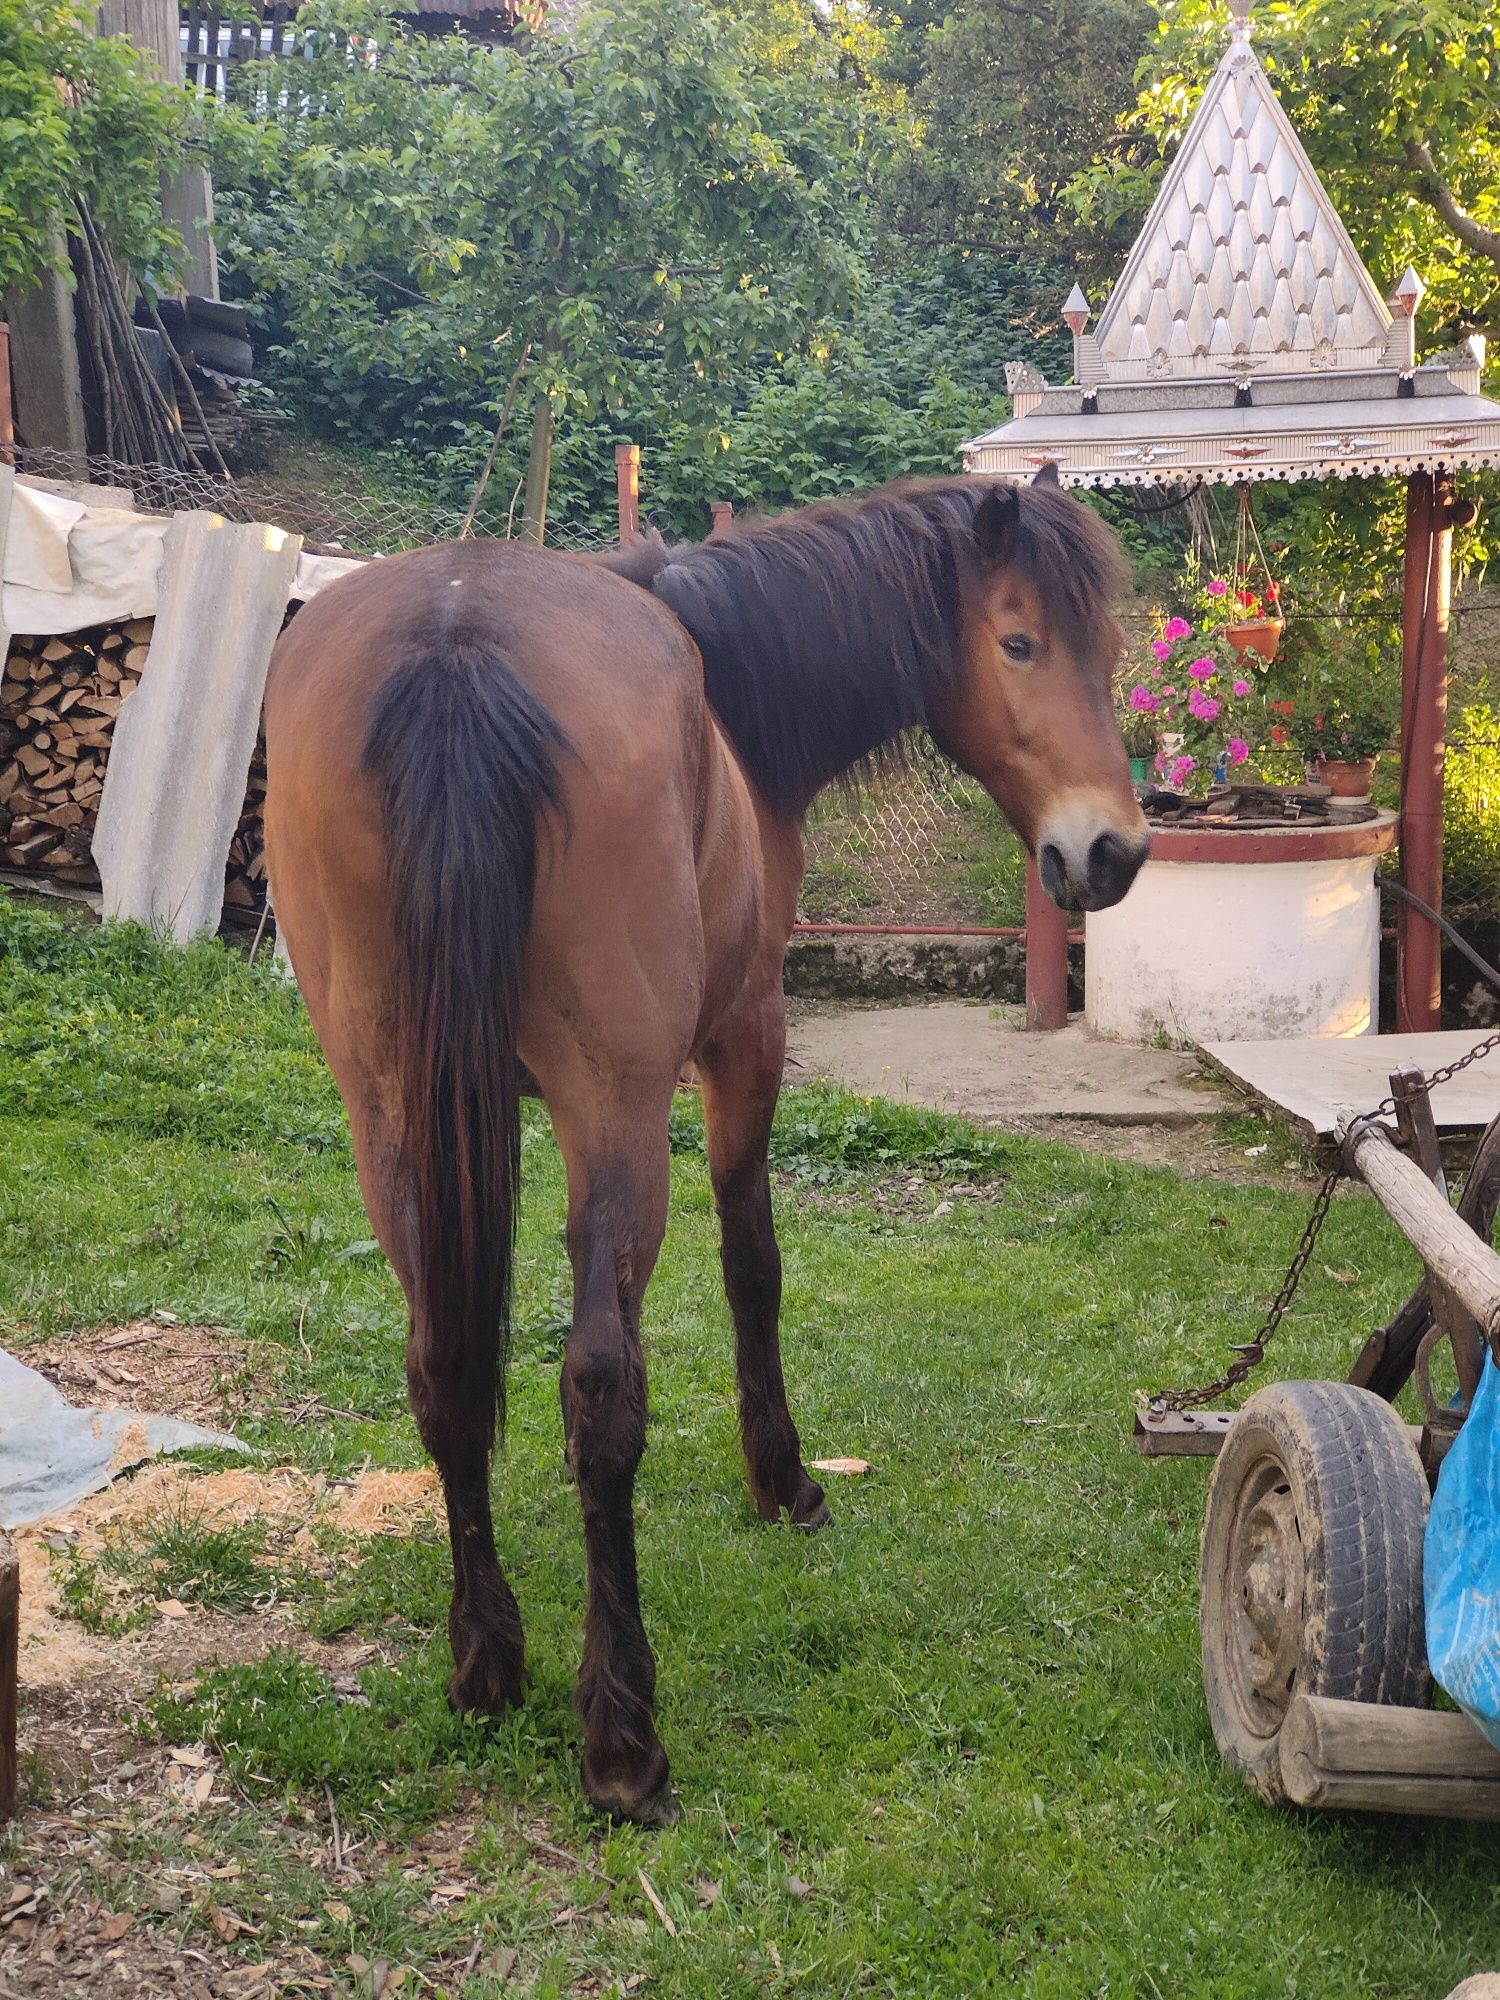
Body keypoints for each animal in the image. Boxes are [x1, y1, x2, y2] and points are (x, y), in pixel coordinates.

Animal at [264, 468, 1144, 1832]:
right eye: (1020, 643)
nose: (1112, 851)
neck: (725, 688)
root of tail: (457, 635)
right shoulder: (747, 1038)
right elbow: (753, 1265)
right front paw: (783, 1479)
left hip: (388, 1106)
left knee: (442, 1363)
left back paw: (486, 1666)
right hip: (614, 1104)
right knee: (600, 1385)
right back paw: (623, 1735)